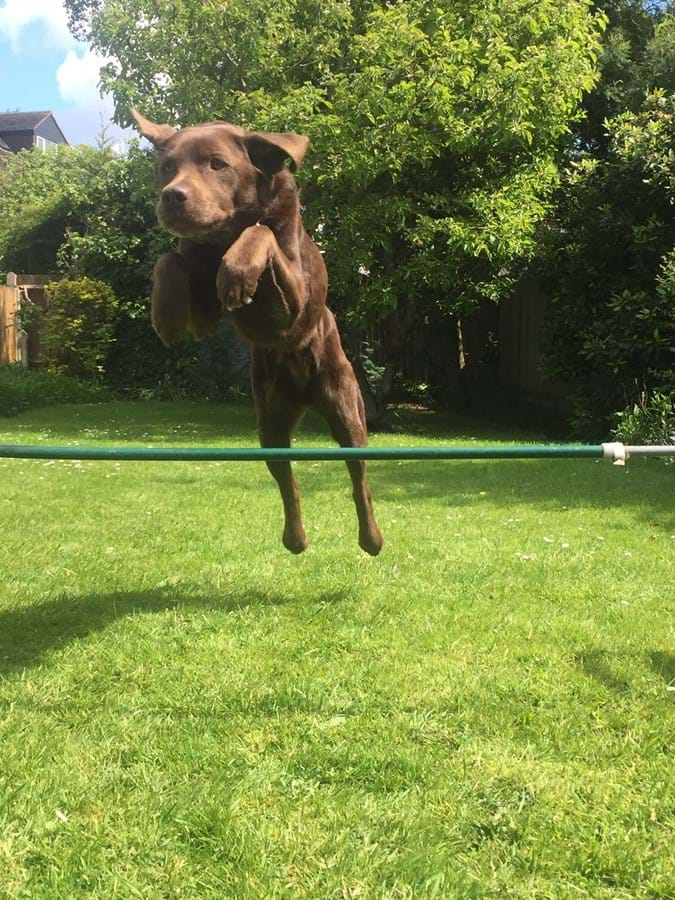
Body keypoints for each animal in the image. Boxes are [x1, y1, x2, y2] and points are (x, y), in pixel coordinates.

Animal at [132, 108, 386, 552]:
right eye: (166, 168)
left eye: (218, 164)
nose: (172, 195)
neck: (223, 236)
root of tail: (304, 394)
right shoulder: (204, 317)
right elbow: (169, 259)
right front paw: (164, 315)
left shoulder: (294, 301)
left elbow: (262, 231)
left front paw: (236, 272)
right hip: (269, 424)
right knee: (289, 483)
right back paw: (296, 539)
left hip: (347, 410)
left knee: (359, 479)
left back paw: (371, 538)